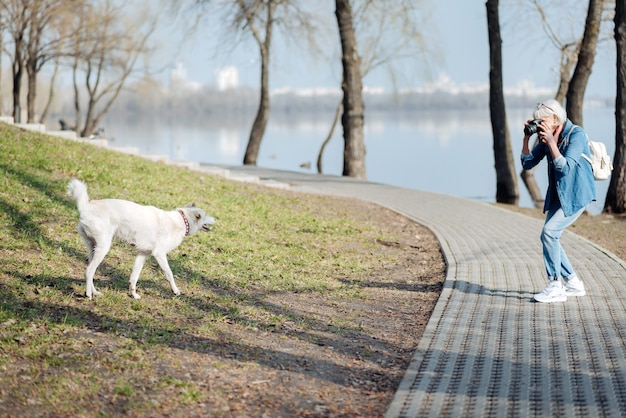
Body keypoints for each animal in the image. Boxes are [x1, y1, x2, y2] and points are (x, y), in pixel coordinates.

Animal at [67, 180, 216, 300]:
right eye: (205, 216)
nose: (216, 219)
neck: (182, 220)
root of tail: (86, 206)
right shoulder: (159, 254)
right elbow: (170, 273)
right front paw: (176, 291)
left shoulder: (142, 254)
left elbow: (134, 277)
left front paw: (133, 294)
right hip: (103, 248)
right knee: (88, 271)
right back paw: (88, 295)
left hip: (93, 247)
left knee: (90, 271)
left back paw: (95, 292)